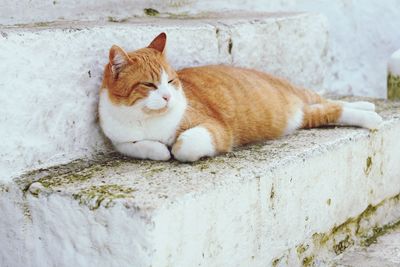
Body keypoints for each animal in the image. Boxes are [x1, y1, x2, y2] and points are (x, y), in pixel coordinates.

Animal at [98, 32, 382, 162]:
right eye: (149, 84)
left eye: (170, 81)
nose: (168, 97)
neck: (147, 119)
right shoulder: (120, 140)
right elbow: (141, 146)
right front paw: (158, 149)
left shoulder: (215, 128)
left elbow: (182, 147)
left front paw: (173, 146)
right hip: (304, 116)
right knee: (327, 109)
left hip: (302, 94)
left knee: (333, 104)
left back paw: (371, 115)